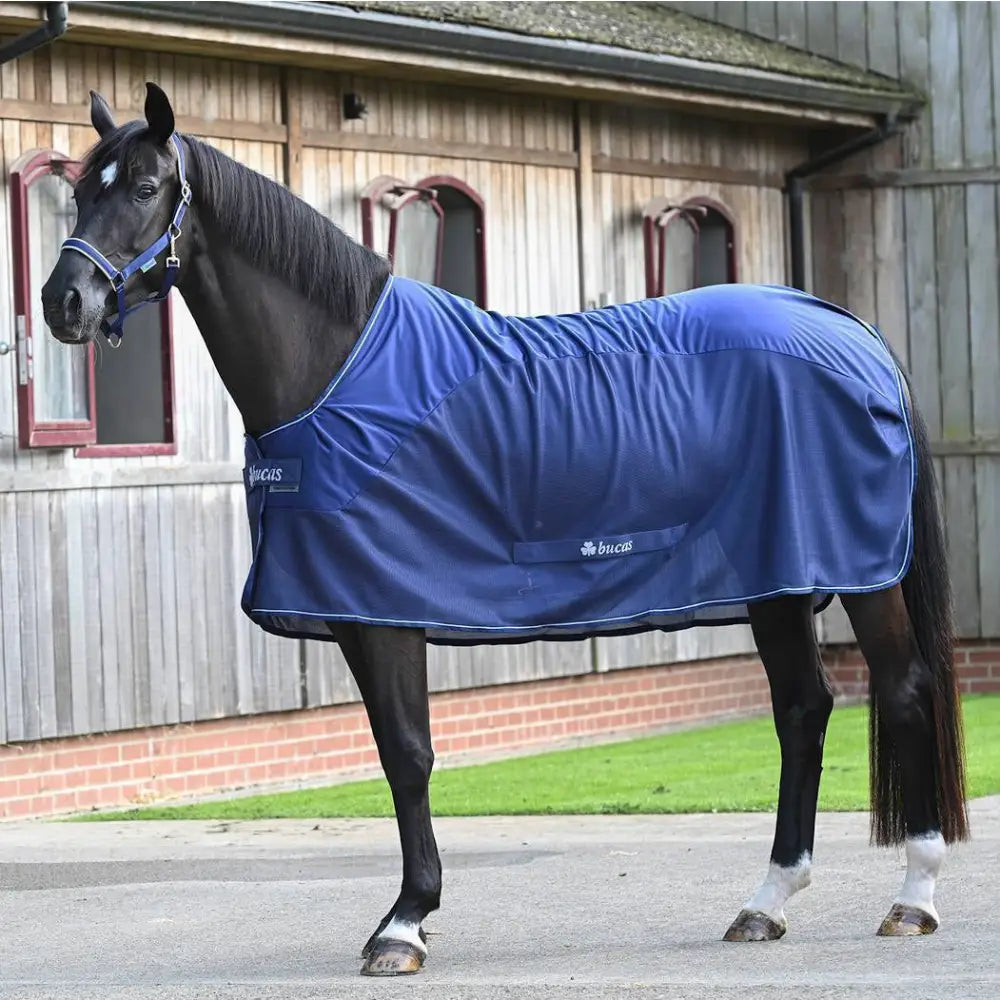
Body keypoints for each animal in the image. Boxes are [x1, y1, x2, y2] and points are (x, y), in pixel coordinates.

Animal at [41, 83, 968, 977]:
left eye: (147, 188)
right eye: (81, 191)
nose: (63, 301)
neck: (337, 370)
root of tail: (850, 329)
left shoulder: (387, 610)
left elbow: (408, 755)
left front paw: (404, 924)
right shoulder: (358, 614)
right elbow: (395, 755)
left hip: (862, 577)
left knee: (903, 689)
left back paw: (914, 895)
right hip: (775, 579)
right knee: (803, 710)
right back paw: (765, 903)